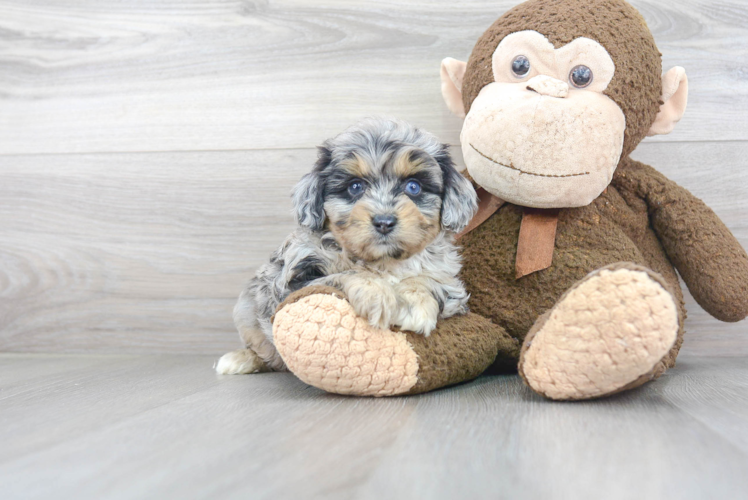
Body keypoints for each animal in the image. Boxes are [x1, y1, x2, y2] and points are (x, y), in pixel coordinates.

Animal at [213, 119, 476, 374]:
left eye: (413, 187)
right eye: (355, 187)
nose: (384, 222)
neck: (383, 261)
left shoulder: (451, 287)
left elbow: (428, 281)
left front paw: (415, 304)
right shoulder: (294, 281)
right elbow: (345, 274)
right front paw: (377, 295)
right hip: (247, 312)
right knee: (264, 351)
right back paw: (239, 360)